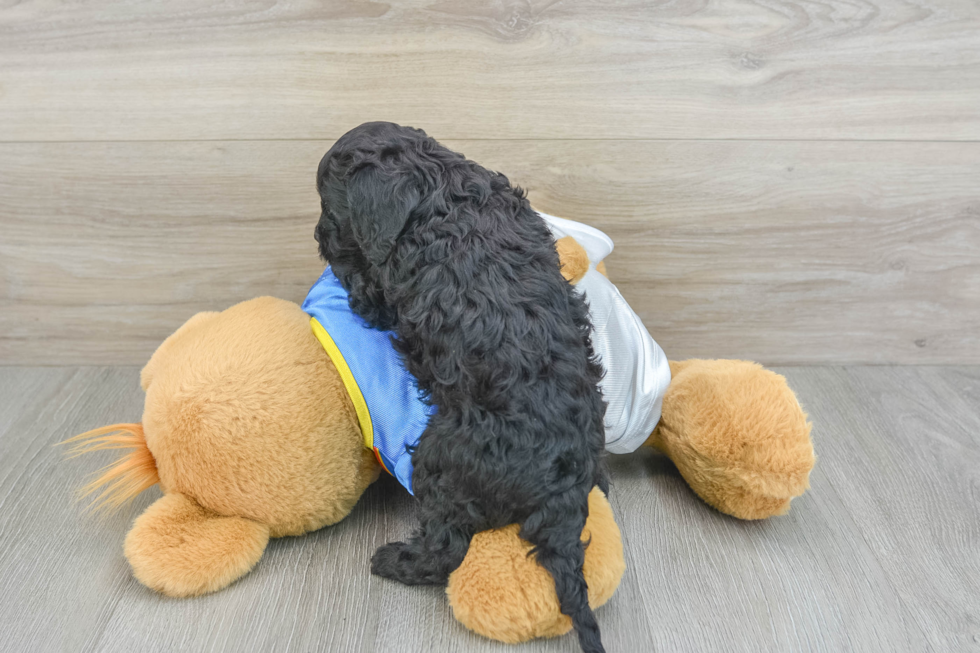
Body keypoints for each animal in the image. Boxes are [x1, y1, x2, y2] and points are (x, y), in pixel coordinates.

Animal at [316, 123, 604, 652]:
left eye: (329, 209)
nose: (317, 235)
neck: (435, 185)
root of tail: (561, 497)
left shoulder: (383, 289)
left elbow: (363, 290)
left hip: (441, 457)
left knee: (446, 547)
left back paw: (395, 561)